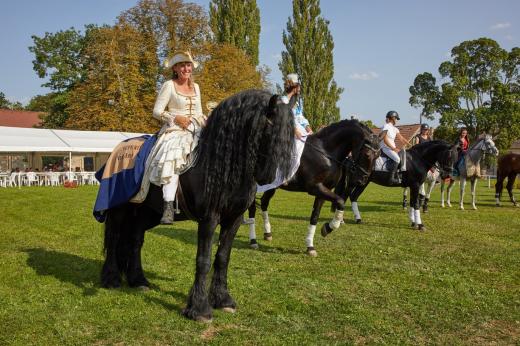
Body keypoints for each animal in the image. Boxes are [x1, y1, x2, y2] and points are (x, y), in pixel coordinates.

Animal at [99, 90, 294, 322]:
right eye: (269, 128)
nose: (267, 177)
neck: (219, 165)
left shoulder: (234, 219)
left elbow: (222, 258)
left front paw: (223, 300)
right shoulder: (209, 218)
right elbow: (204, 259)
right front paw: (199, 308)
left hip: (146, 213)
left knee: (135, 241)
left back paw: (139, 281)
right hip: (119, 210)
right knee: (114, 238)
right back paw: (111, 279)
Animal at [246, 120, 380, 255]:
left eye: (378, 156)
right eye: (367, 154)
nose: (362, 180)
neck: (326, 152)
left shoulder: (323, 190)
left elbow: (315, 216)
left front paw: (311, 245)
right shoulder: (315, 187)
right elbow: (340, 201)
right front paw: (328, 227)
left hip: (272, 186)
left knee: (264, 203)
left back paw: (267, 234)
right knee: (252, 209)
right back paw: (253, 241)